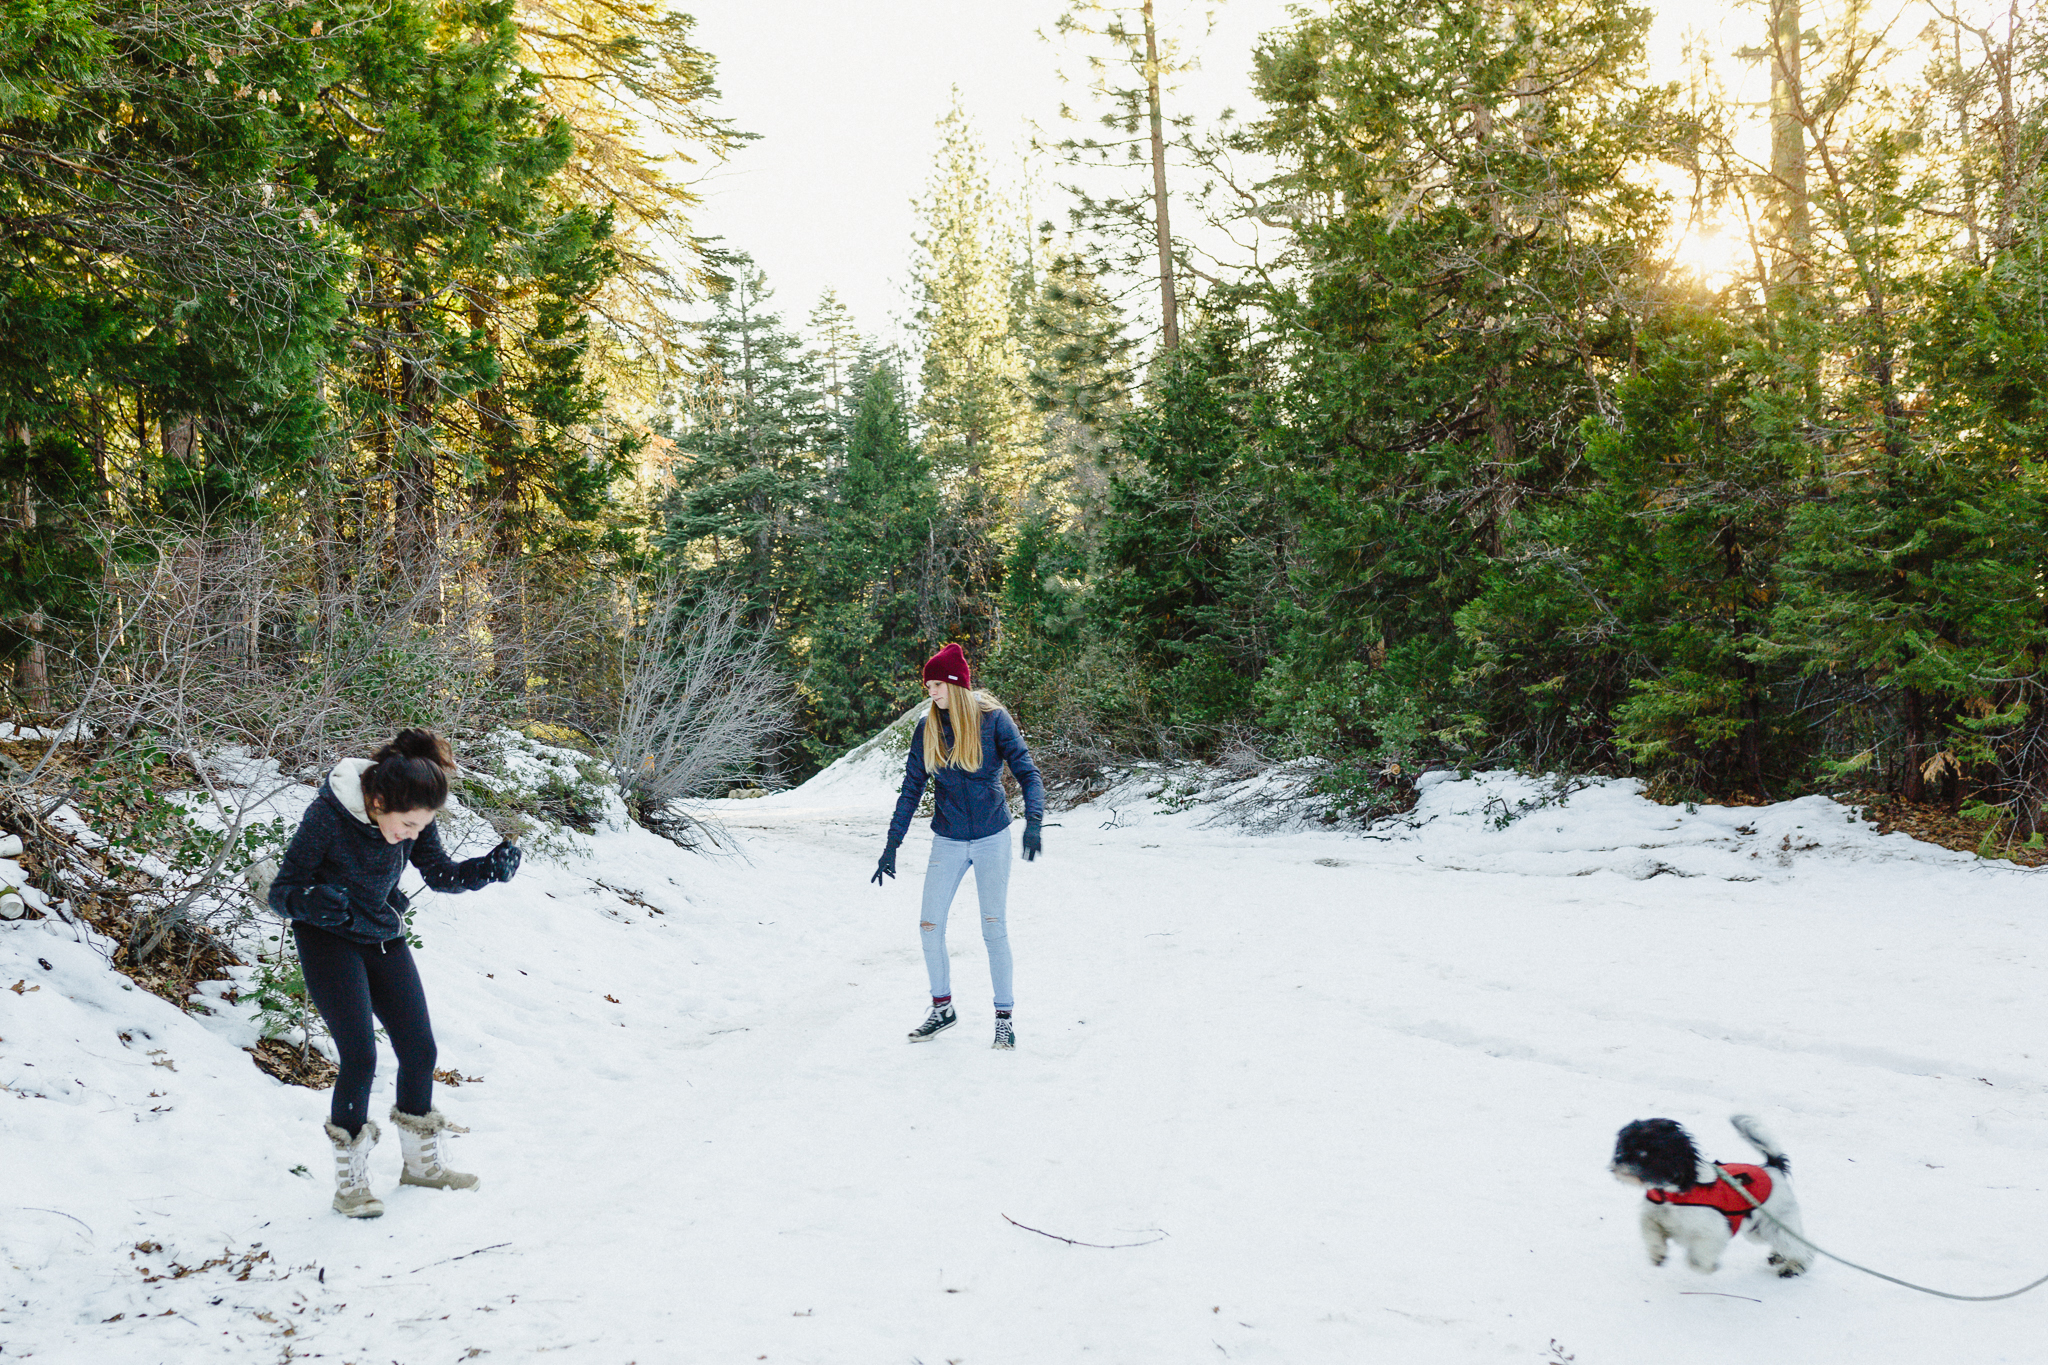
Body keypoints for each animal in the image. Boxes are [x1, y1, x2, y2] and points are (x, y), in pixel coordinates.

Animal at [1605, 1113, 1818, 1277]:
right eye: (1622, 1146)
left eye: (1643, 1152)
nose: (1618, 1159)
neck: (1674, 1194)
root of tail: (1772, 1167)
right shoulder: (1653, 1215)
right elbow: (1650, 1229)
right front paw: (1658, 1253)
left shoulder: (1713, 1231)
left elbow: (1699, 1258)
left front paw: (1708, 1267)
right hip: (1756, 1230)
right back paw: (1779, 1256)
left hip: (1775, 1225)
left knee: (1802, 1248)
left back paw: (1794, 1266)